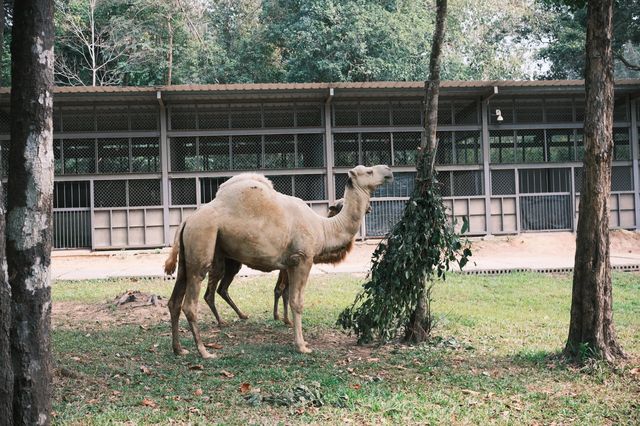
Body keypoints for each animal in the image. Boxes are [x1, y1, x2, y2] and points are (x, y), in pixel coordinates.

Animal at [165, 165, 392, 358]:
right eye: (369, 171)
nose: (388, 170)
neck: (323, 228)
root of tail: (187, 220)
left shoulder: (290, 264)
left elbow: (285, 294)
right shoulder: (302, 259)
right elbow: (296, 301)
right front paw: (302, 346)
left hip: (186, 259)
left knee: (175, 300)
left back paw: (179, 349)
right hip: (203, 241)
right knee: (191, 302)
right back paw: (204, 351)